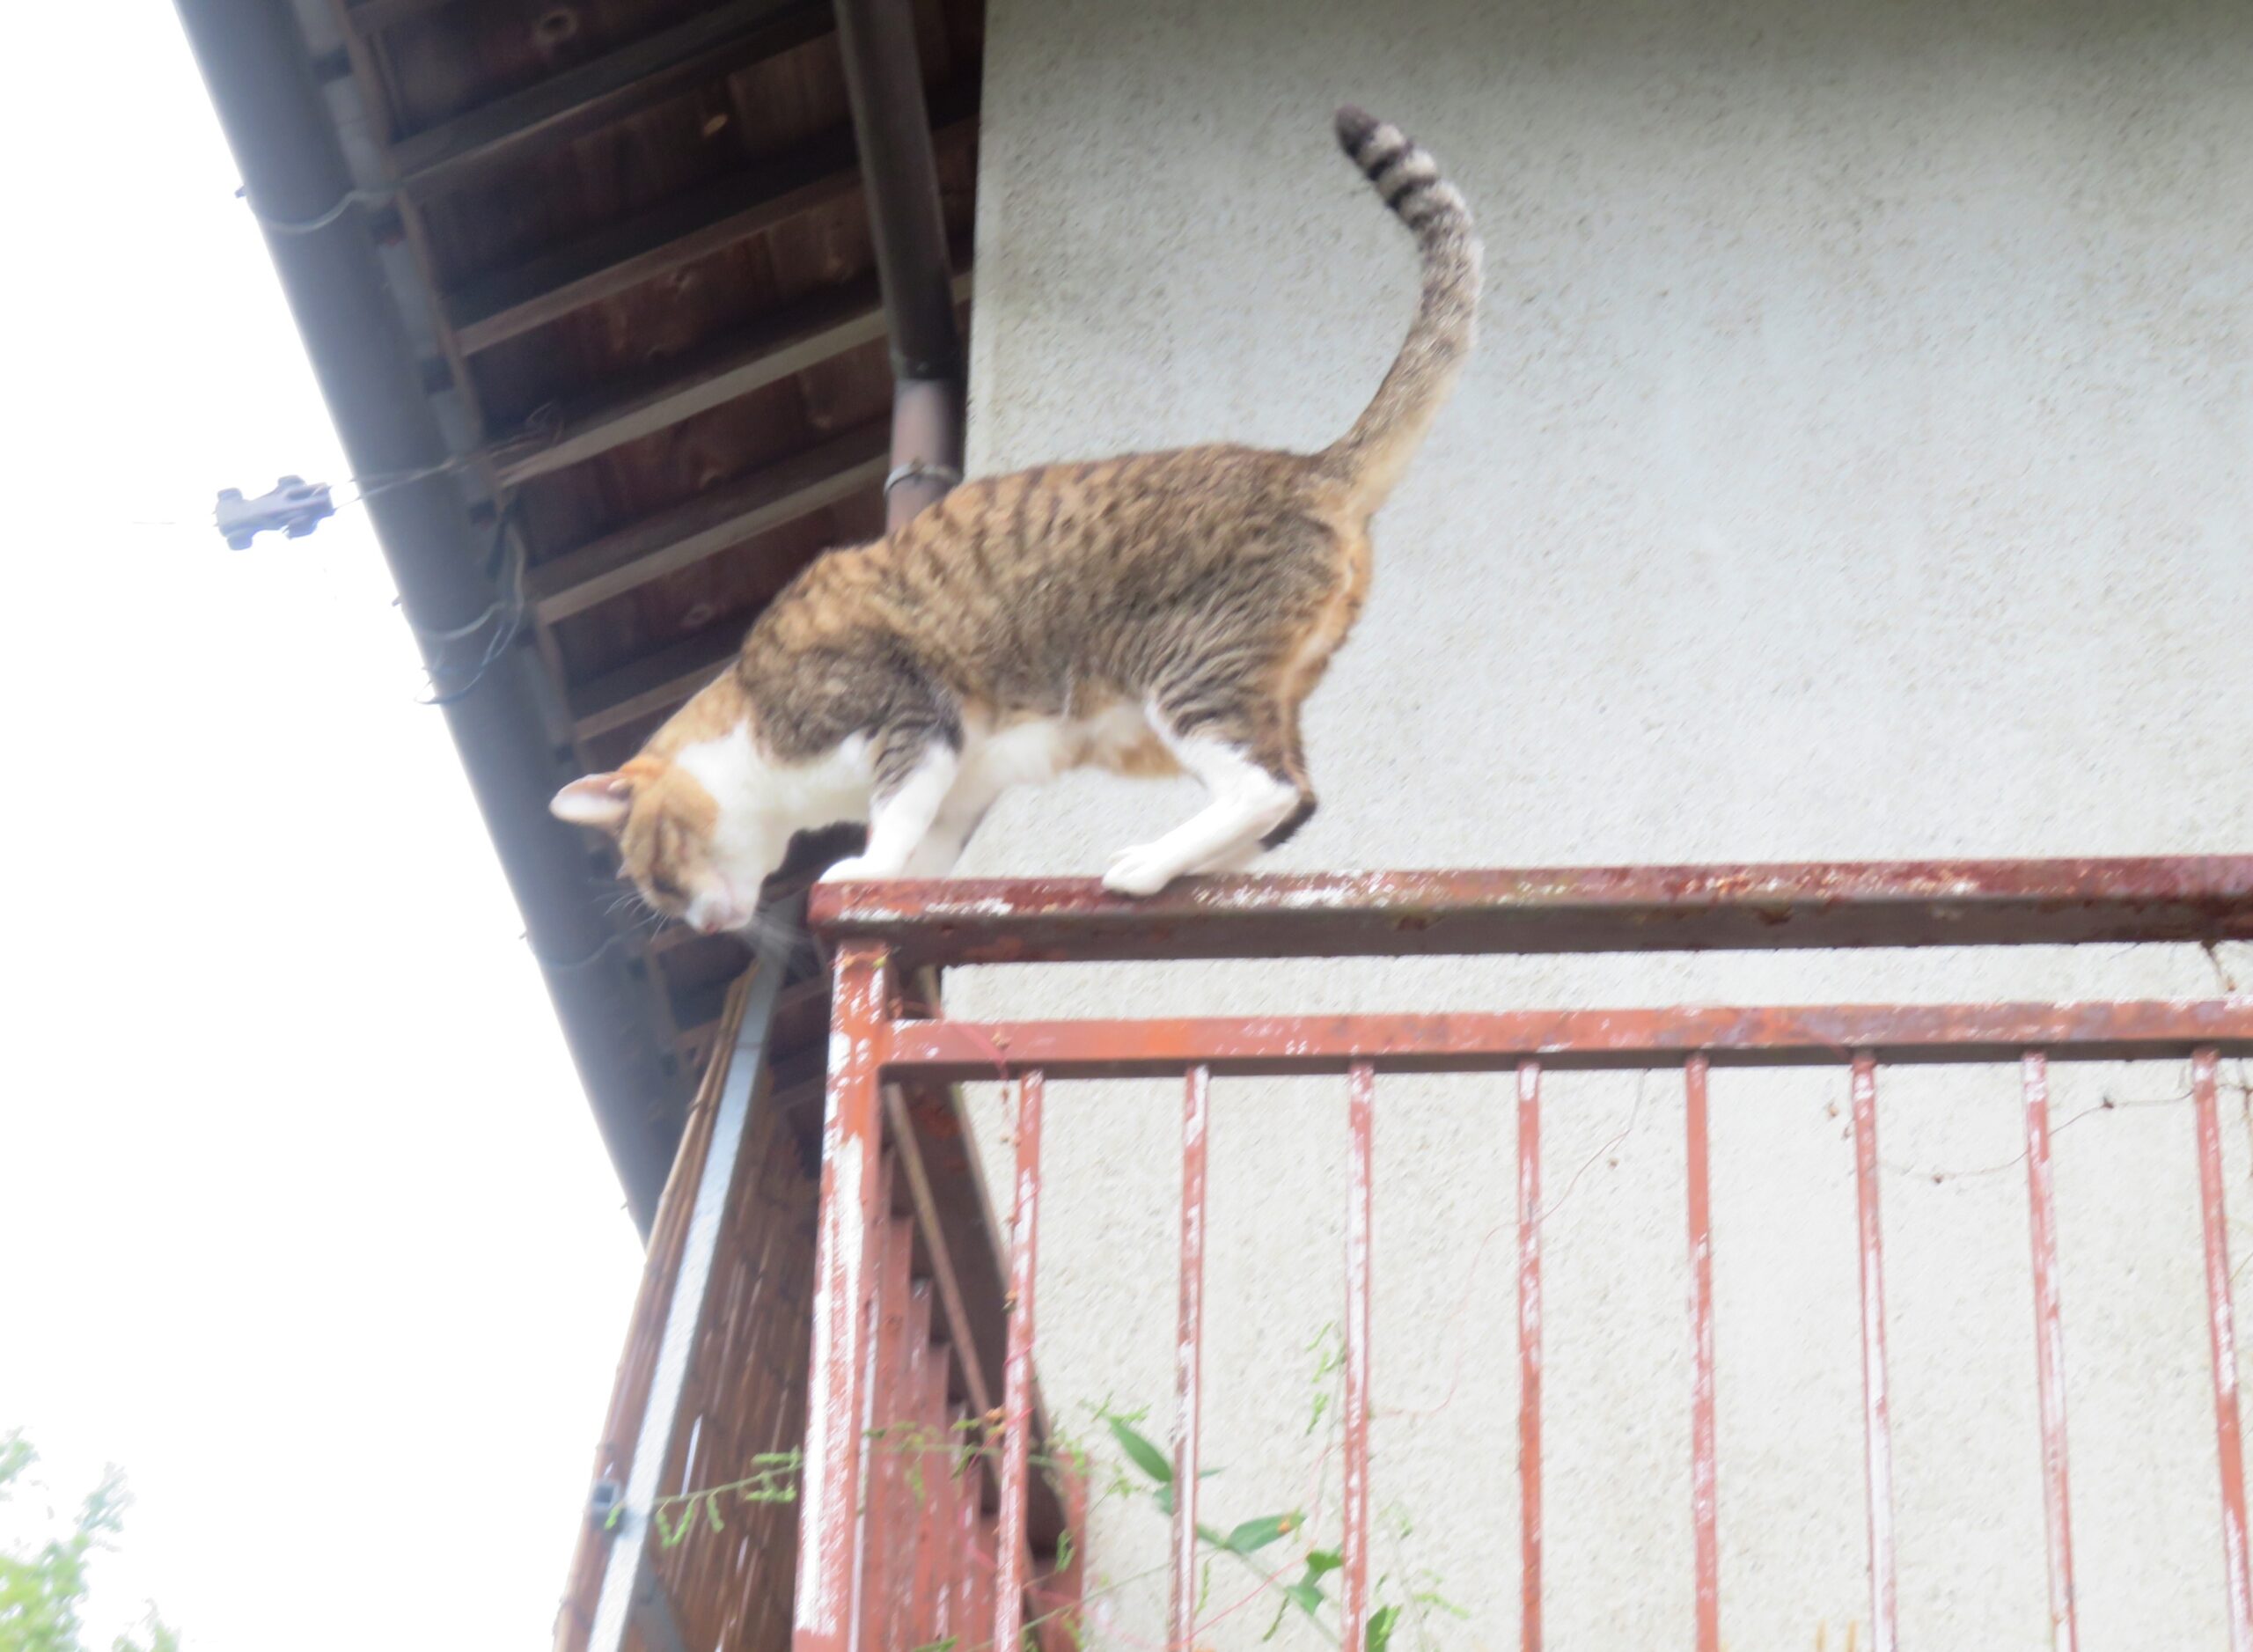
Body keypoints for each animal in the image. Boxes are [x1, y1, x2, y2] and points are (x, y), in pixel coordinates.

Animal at [554, 106, 1478, 929]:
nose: (702, 926)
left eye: (656, 876)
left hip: (1184, 670)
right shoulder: (962, 781)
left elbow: (892, 819)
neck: (758, 734)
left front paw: (859, 868)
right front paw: (898, 889)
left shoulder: (907, 719)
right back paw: (1196, 867)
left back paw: (1146, 865)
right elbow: (926, 848)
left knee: (1267, 786)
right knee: (1294, 798)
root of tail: (1313, 466)